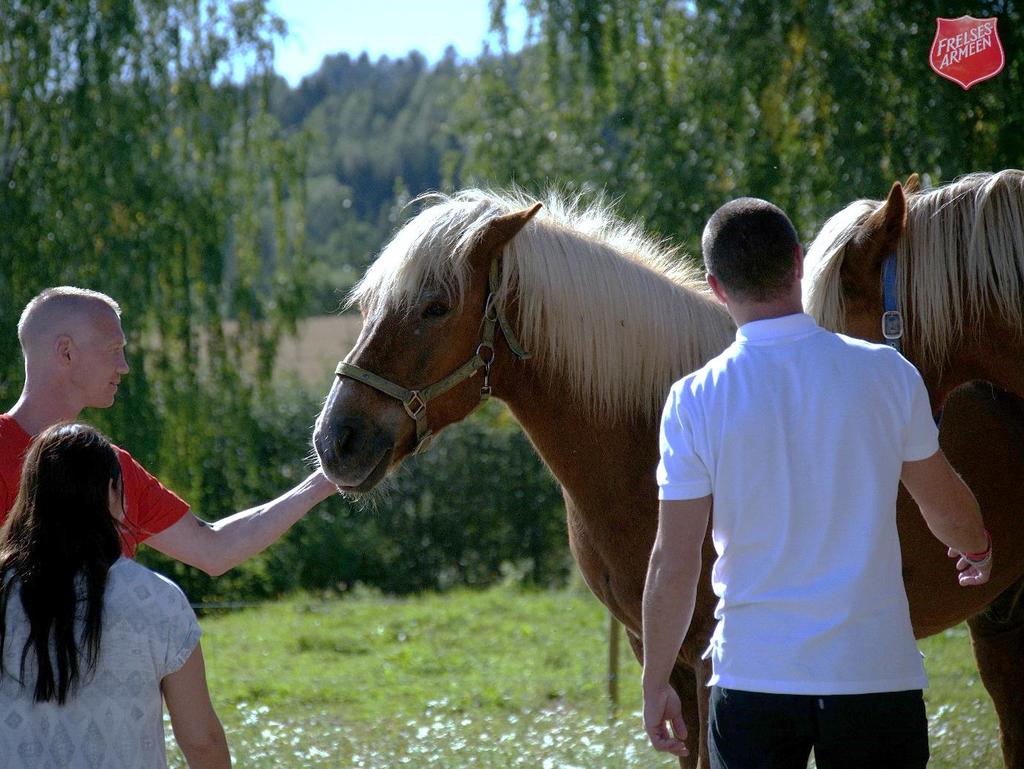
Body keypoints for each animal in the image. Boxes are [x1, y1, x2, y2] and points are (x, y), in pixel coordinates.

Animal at [313, 189, 1024, 765]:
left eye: (435, 307)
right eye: (370, 304)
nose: (336, 440)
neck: (649, 437)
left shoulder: (717, 664)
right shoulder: (660, 659)